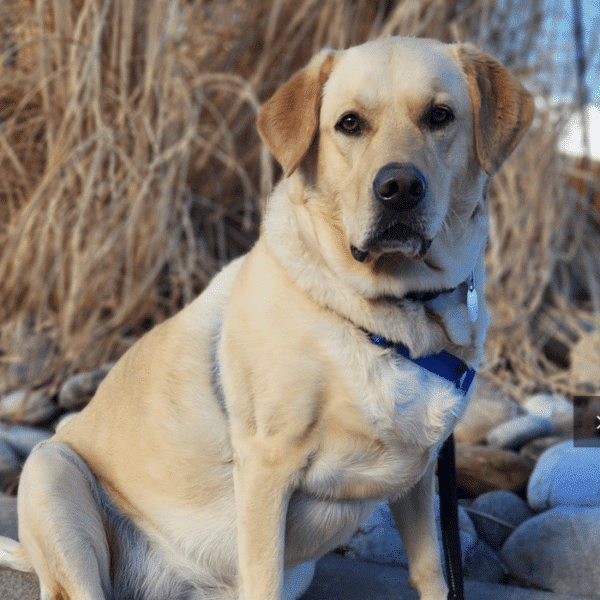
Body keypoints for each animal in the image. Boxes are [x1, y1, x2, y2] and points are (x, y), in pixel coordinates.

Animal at [0, 35, 536, 596]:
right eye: (349, 123)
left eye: (439, 116)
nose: (399, 189)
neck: (399, 311)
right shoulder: (265, 467)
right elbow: (263, 575)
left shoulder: (420, 471)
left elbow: (432, 568)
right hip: (52, 474)